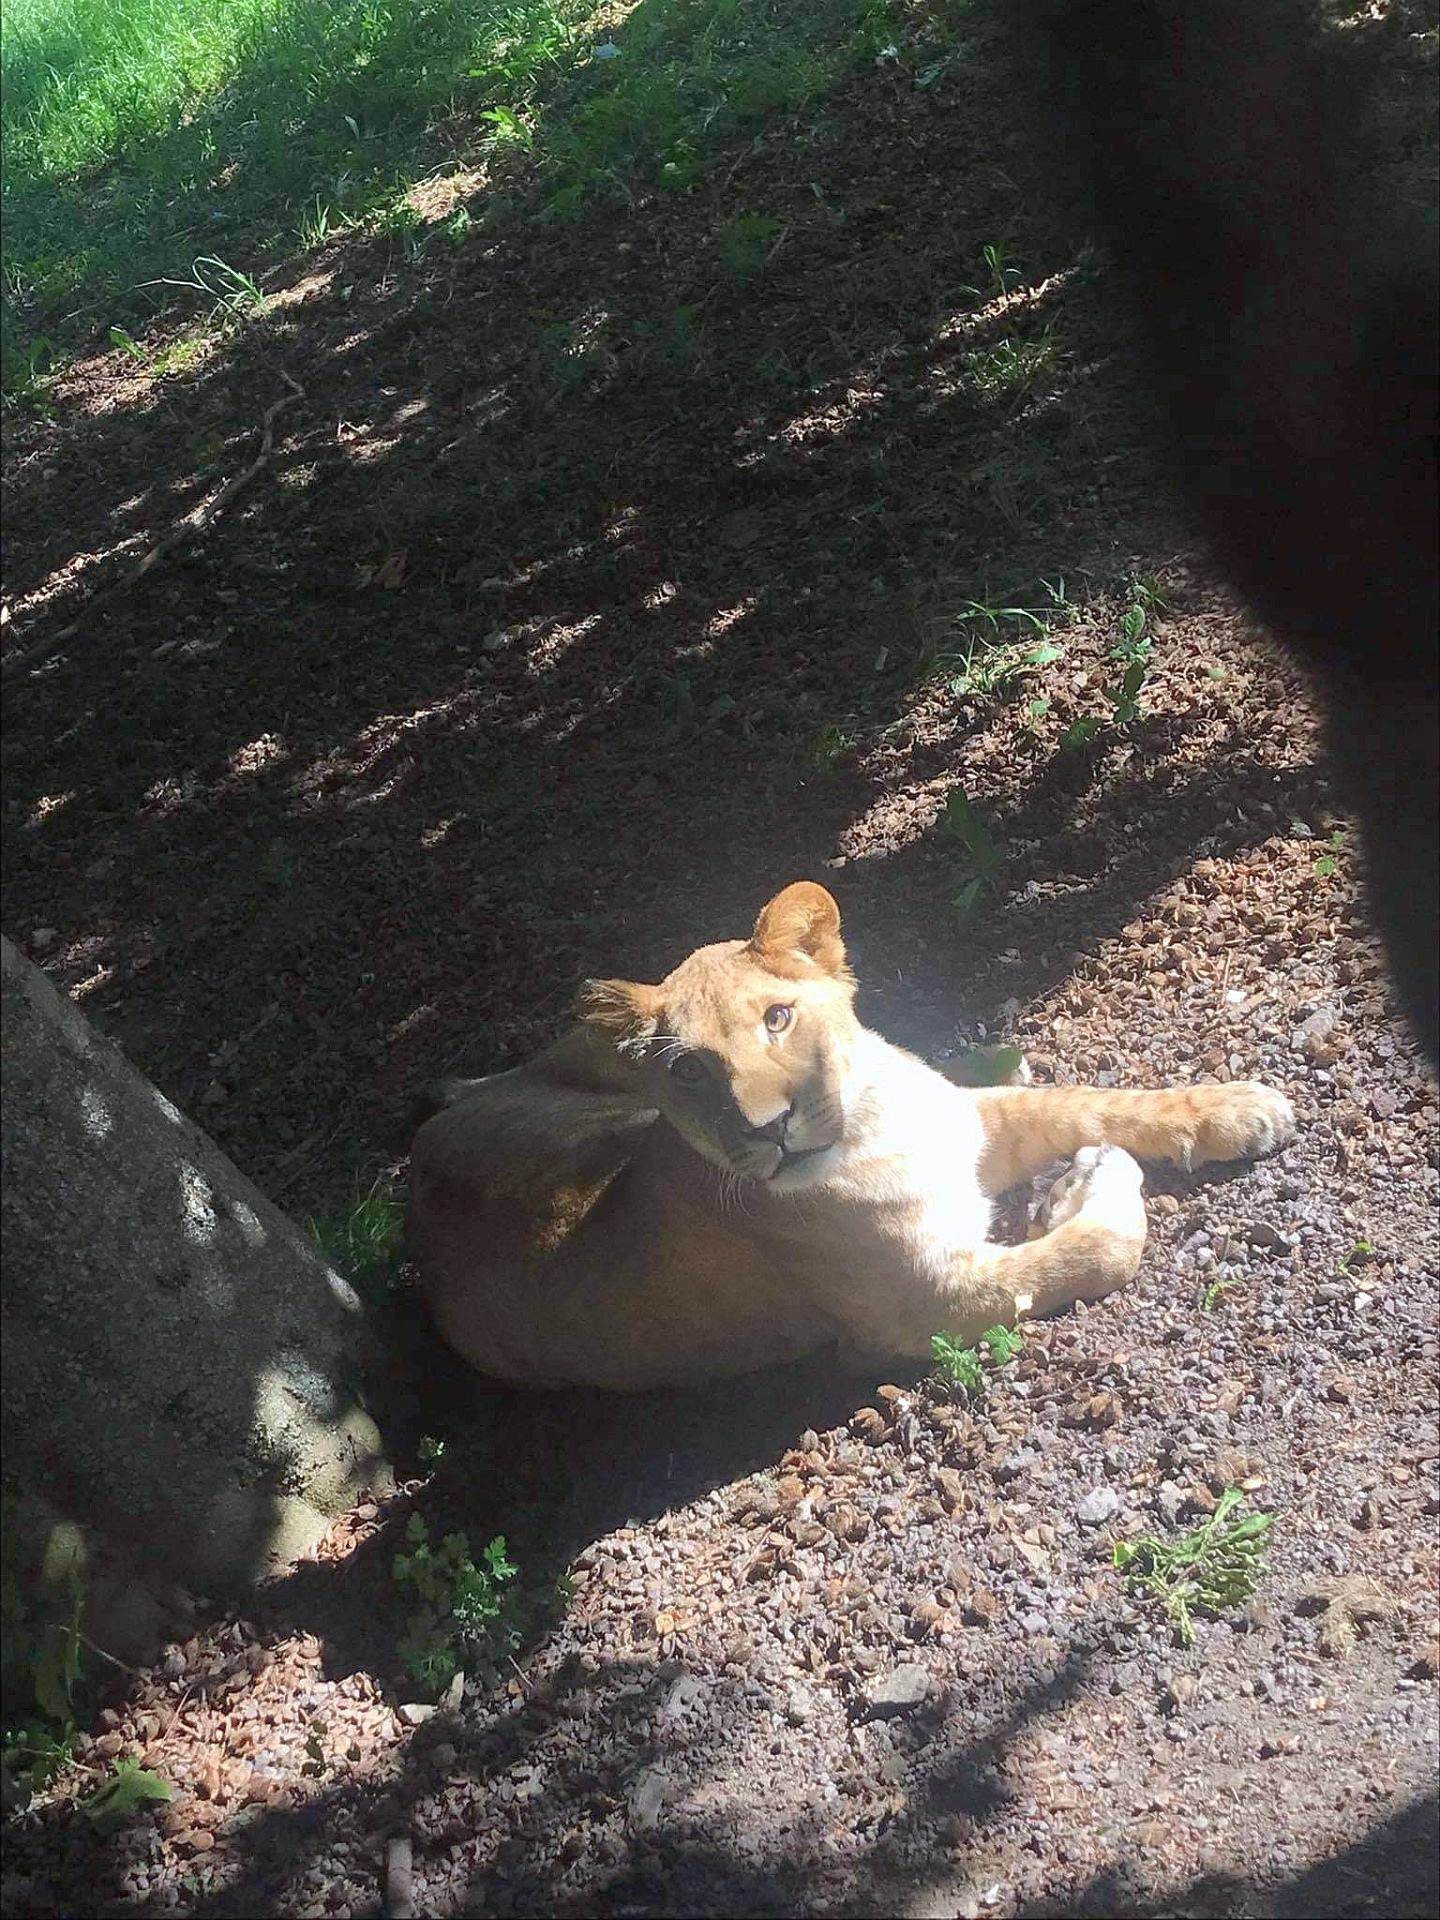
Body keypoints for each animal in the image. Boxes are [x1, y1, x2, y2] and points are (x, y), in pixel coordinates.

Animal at [409, 882, 1294, 1390]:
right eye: (690, 1071)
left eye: (777, 1018)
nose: (768, 1128)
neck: (873, 1121)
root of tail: (421, 1164)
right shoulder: (919, 1308)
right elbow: (1096, 1248)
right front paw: (1088, 1185)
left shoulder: (974, 1124)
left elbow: (1094, 1102)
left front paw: (1239, 1108)